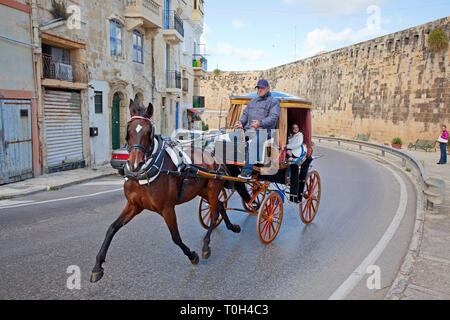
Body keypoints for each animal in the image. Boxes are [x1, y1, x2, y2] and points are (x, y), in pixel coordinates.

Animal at [89, 99, 241, 282]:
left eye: (149, 131)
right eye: (129, 130)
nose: (134, 165)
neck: (147, 172)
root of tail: (213, 156)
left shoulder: (167, 208)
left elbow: (175, 237)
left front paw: (192, 255)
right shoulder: (134, 205)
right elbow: (111, 229)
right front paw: (97, 266)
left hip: (212, 188)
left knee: (214, 214)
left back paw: (206, 245)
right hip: (201, 190)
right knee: (219, 205)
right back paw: (232, 227)